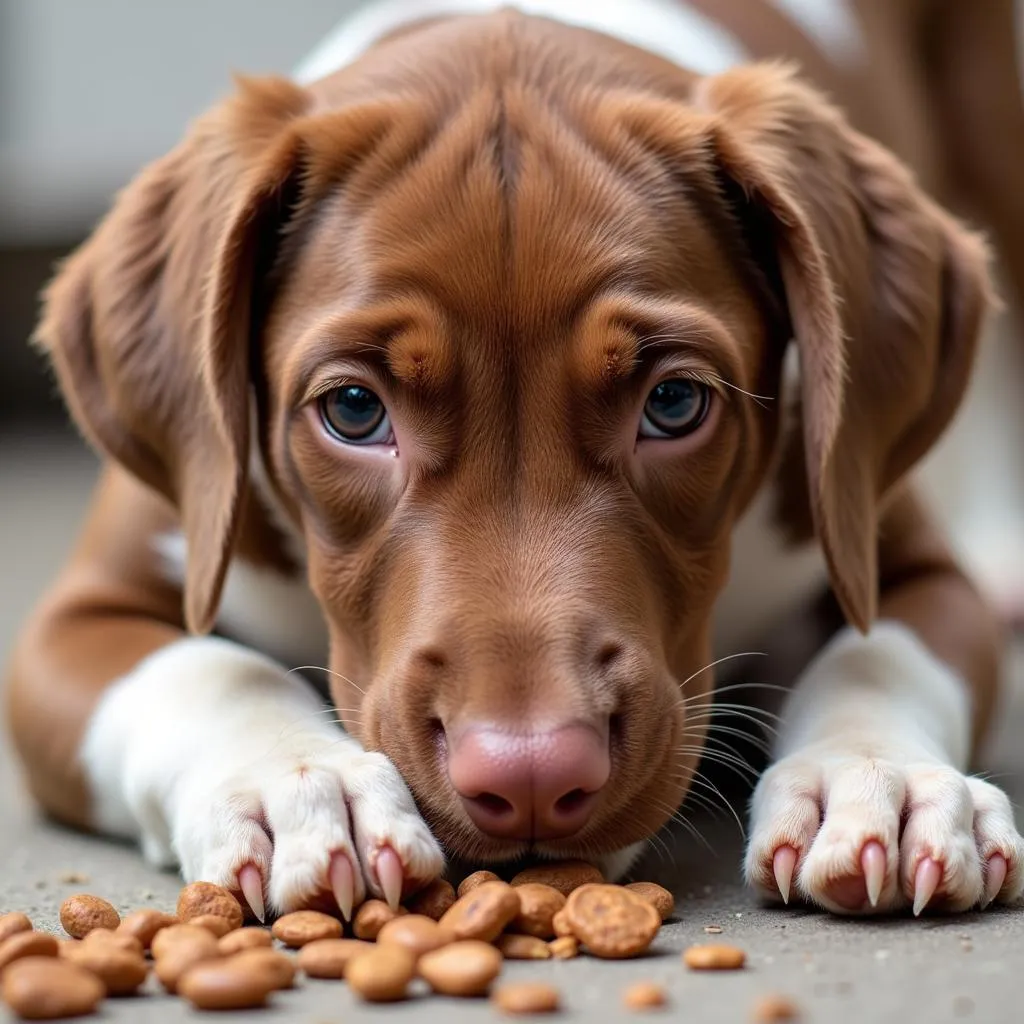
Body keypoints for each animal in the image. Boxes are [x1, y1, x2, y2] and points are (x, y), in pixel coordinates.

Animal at [8, 4, 1024, 921]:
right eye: (352, 411)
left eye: (675, 403)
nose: (532, 775)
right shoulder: (83, 610)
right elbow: (209, 671)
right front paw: (297, 786)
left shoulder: (887, 539)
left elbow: (877, 654)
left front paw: (881, 779)